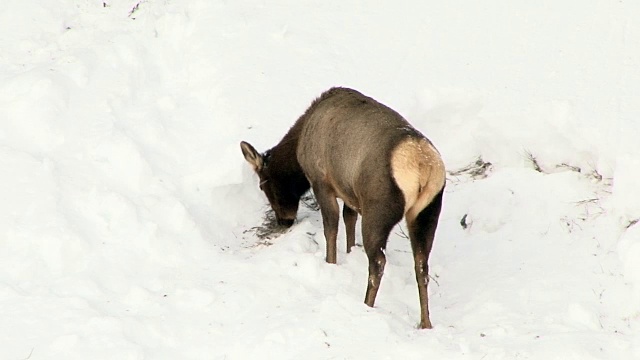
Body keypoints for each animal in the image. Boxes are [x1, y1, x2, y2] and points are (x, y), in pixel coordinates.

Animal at [240, 87, 444, 330]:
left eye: (263, 185)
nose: (284, 221)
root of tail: (423, 166)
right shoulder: (349, 192)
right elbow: (349, 219)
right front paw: (350, 252)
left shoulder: (321, 181)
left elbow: (331, 227)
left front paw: (331, 262)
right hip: (427, 212)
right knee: (421, 264)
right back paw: (425, 322)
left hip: (378, 210)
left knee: (378, 262)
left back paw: (366, 305)